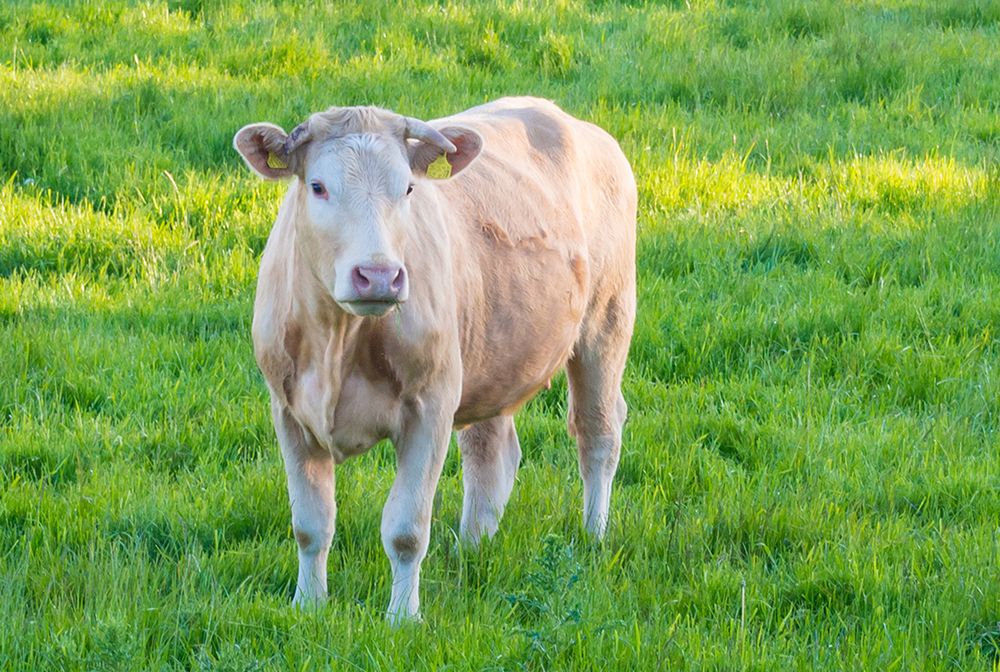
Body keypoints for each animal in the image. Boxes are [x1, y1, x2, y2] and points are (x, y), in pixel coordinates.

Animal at [235, 97, 636, 624]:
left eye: (407, 187)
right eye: (318, 186)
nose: (378, 275)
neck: (338, 343)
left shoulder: (430, 406)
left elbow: (406, 528)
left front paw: (403, 617)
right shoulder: (288, 411)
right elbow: (310, 523)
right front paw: (309, 605)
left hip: (606, 322)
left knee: (598, 434)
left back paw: (593, 534)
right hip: (490, 353)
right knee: (492, 452)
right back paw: (473, 547)